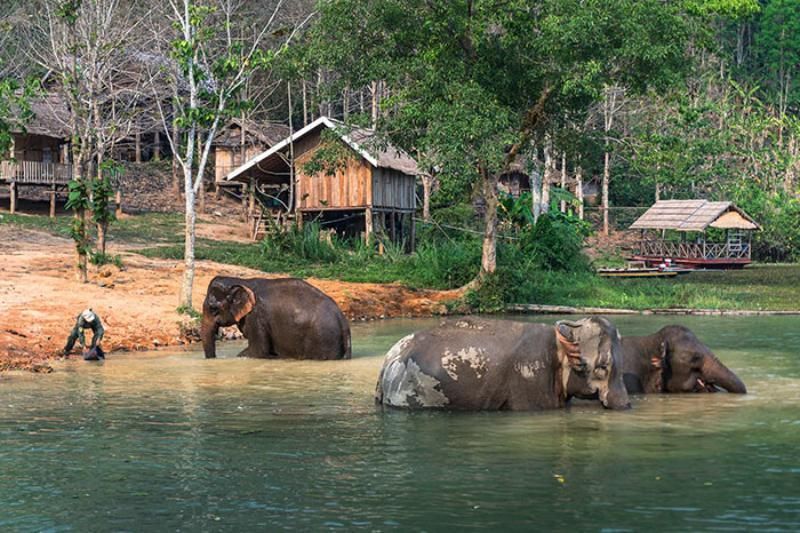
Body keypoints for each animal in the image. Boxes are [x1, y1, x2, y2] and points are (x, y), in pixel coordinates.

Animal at [200, 276, 350, 360]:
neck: (242, 281)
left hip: (323, 339)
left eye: (213, 309)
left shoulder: (256, 316)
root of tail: (343, 322)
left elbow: (258, 352)